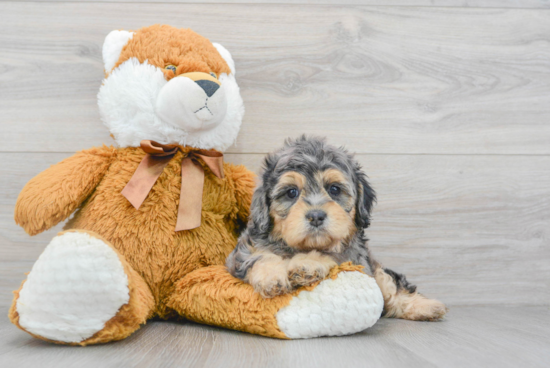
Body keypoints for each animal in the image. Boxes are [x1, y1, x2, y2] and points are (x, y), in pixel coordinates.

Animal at [227, 137, 448, 320]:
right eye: (291, 192)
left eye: (334, 189)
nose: (316, 216)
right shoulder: (243, 251)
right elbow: (261, 256)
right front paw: (272, 278)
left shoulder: (356, 259)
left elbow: (330, 256)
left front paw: (307, 264)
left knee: (391, 285)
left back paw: (427, 307)